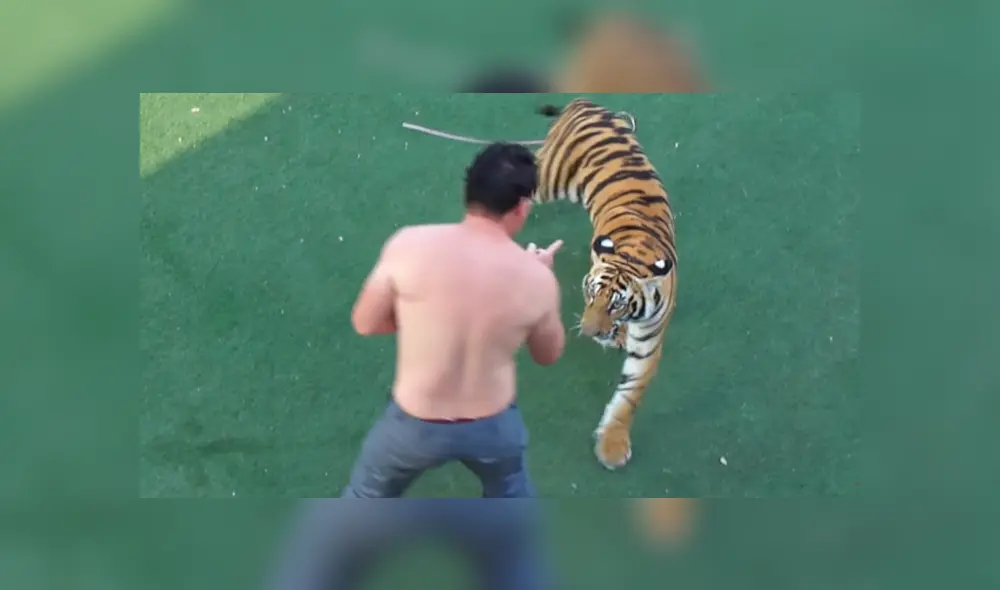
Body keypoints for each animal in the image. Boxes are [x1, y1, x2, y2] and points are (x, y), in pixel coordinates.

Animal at [531, 97, 678, 470]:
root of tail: (586, 102)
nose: (588, 333)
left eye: (618, 304)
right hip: (548, 179)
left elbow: (629, 397)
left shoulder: (649, 342)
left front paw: (612, 444)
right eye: (590, 294)